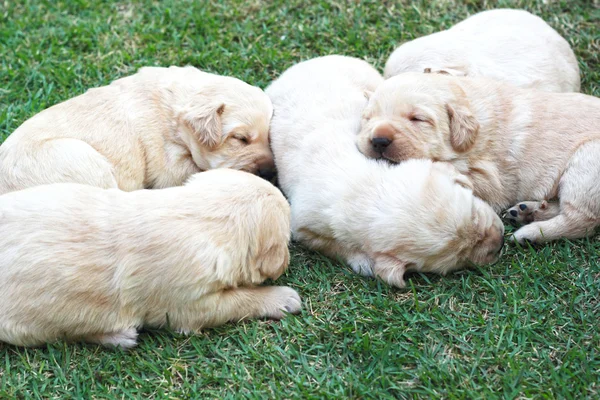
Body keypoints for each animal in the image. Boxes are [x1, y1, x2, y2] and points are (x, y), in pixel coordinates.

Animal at [0, 167, 300, 348]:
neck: (199, 215)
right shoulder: (190, 305)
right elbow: (240, 300)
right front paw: (282, 298)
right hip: (28, 327)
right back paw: (119, 336)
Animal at [264, 55, 504, 288]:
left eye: (475, 213)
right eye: (459, 256)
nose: (501, 241)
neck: (365, 187)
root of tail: (307, 62)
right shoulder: (305, 227)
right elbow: (334, 245)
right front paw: (362, 261)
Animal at [356, 73, 600, 245]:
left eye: (418, 119)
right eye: (368, 118)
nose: (379, 140)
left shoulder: (493, 180)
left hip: (586, 163)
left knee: (582, 219)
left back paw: (529, 233)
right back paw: (528, 211)